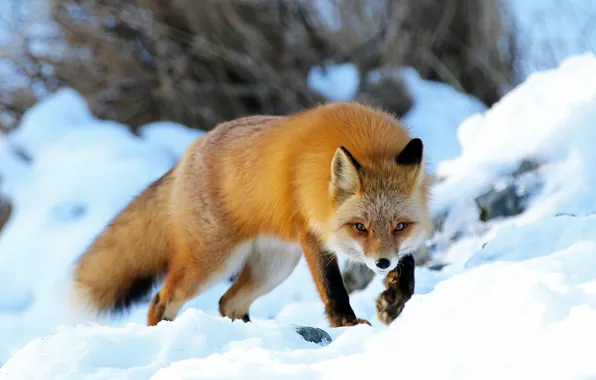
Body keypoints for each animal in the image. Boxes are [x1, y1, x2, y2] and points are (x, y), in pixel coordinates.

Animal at [72, 102, 430, 328]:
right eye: (360, 227)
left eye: (400, 226)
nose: (382, 263)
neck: (367, 142)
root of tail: (191, 151)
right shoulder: (312, 232)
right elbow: (333, 288)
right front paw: (348, 324)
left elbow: (409, 265)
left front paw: (393, 301)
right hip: (212, 263)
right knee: (161, 299)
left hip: (274, 266)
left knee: (228, 302)